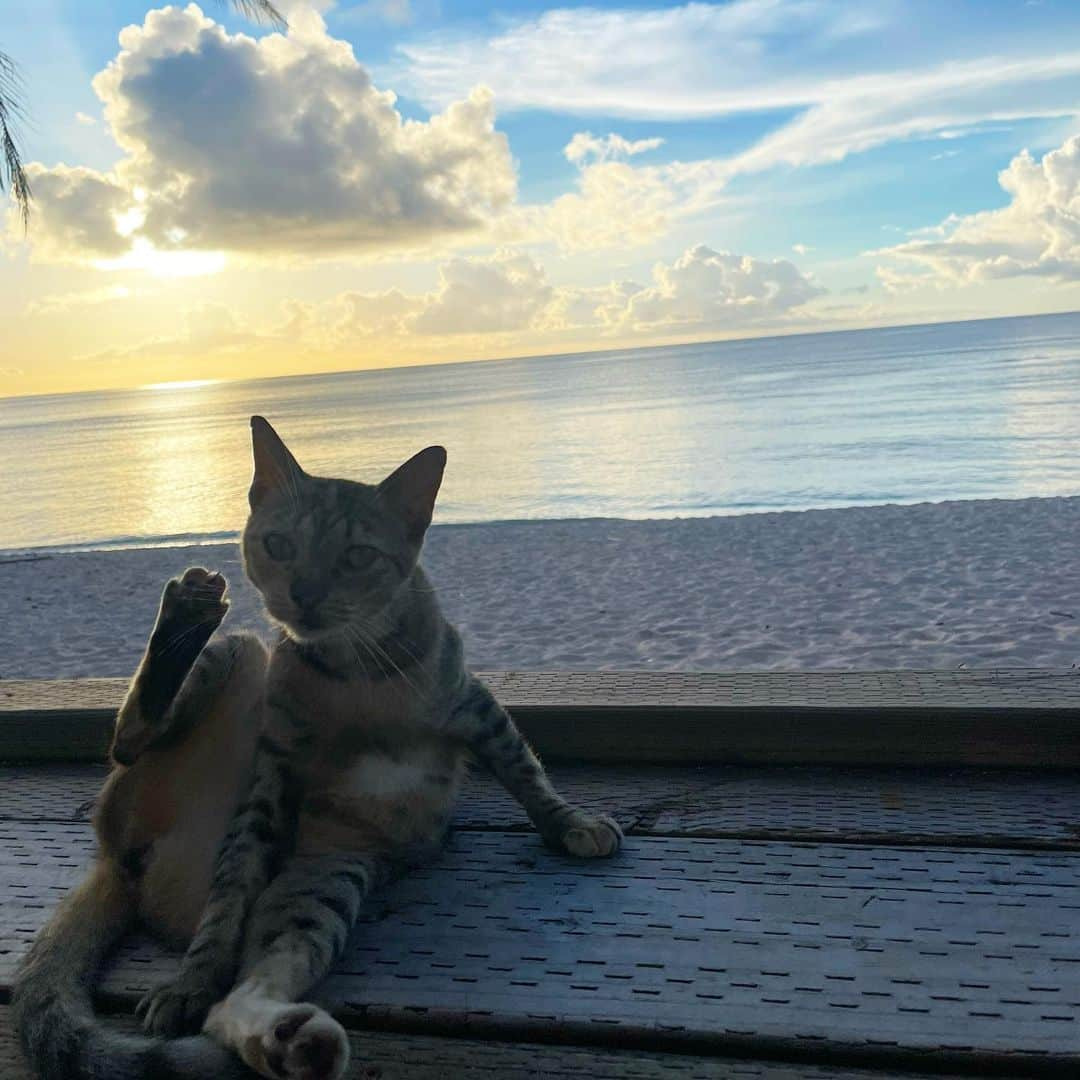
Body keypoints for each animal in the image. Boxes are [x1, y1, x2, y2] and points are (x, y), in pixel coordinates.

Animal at [12, 414, 622, 1080]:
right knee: (130, 742)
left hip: (322, 878)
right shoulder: (273, 768)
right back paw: (182, 620)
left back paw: (292, 1042)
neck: (353, 671)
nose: (303, 592)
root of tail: (119, 861)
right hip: (241, 660)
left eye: (357, 556)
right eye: (279, 545)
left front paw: (570, 822)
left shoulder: (470, 701)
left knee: (246, 989)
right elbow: (228, 900)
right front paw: (192, 977)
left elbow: (524, 770)